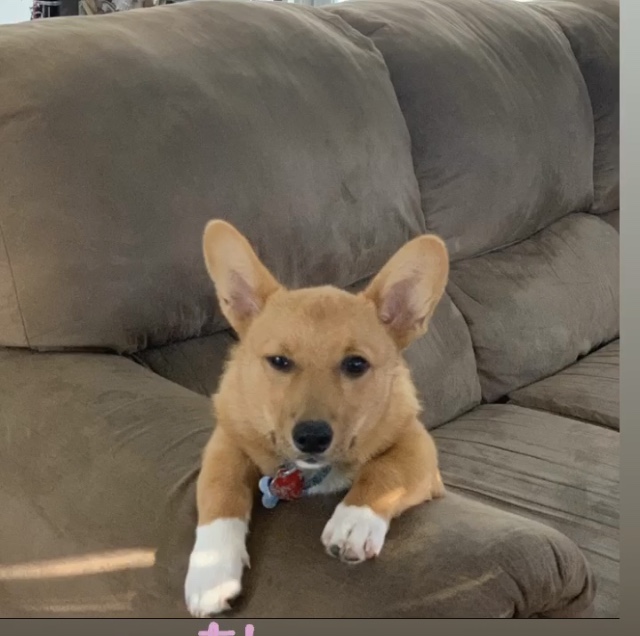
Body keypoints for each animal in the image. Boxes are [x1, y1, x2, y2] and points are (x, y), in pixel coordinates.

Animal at [185, 219, 449, 618]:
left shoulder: (418, 445)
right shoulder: (226, 440)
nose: (311, 437)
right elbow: (220, 490)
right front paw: (211, 574)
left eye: (356, 364)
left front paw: (354, 520)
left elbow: (387, 469)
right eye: (279, 361)